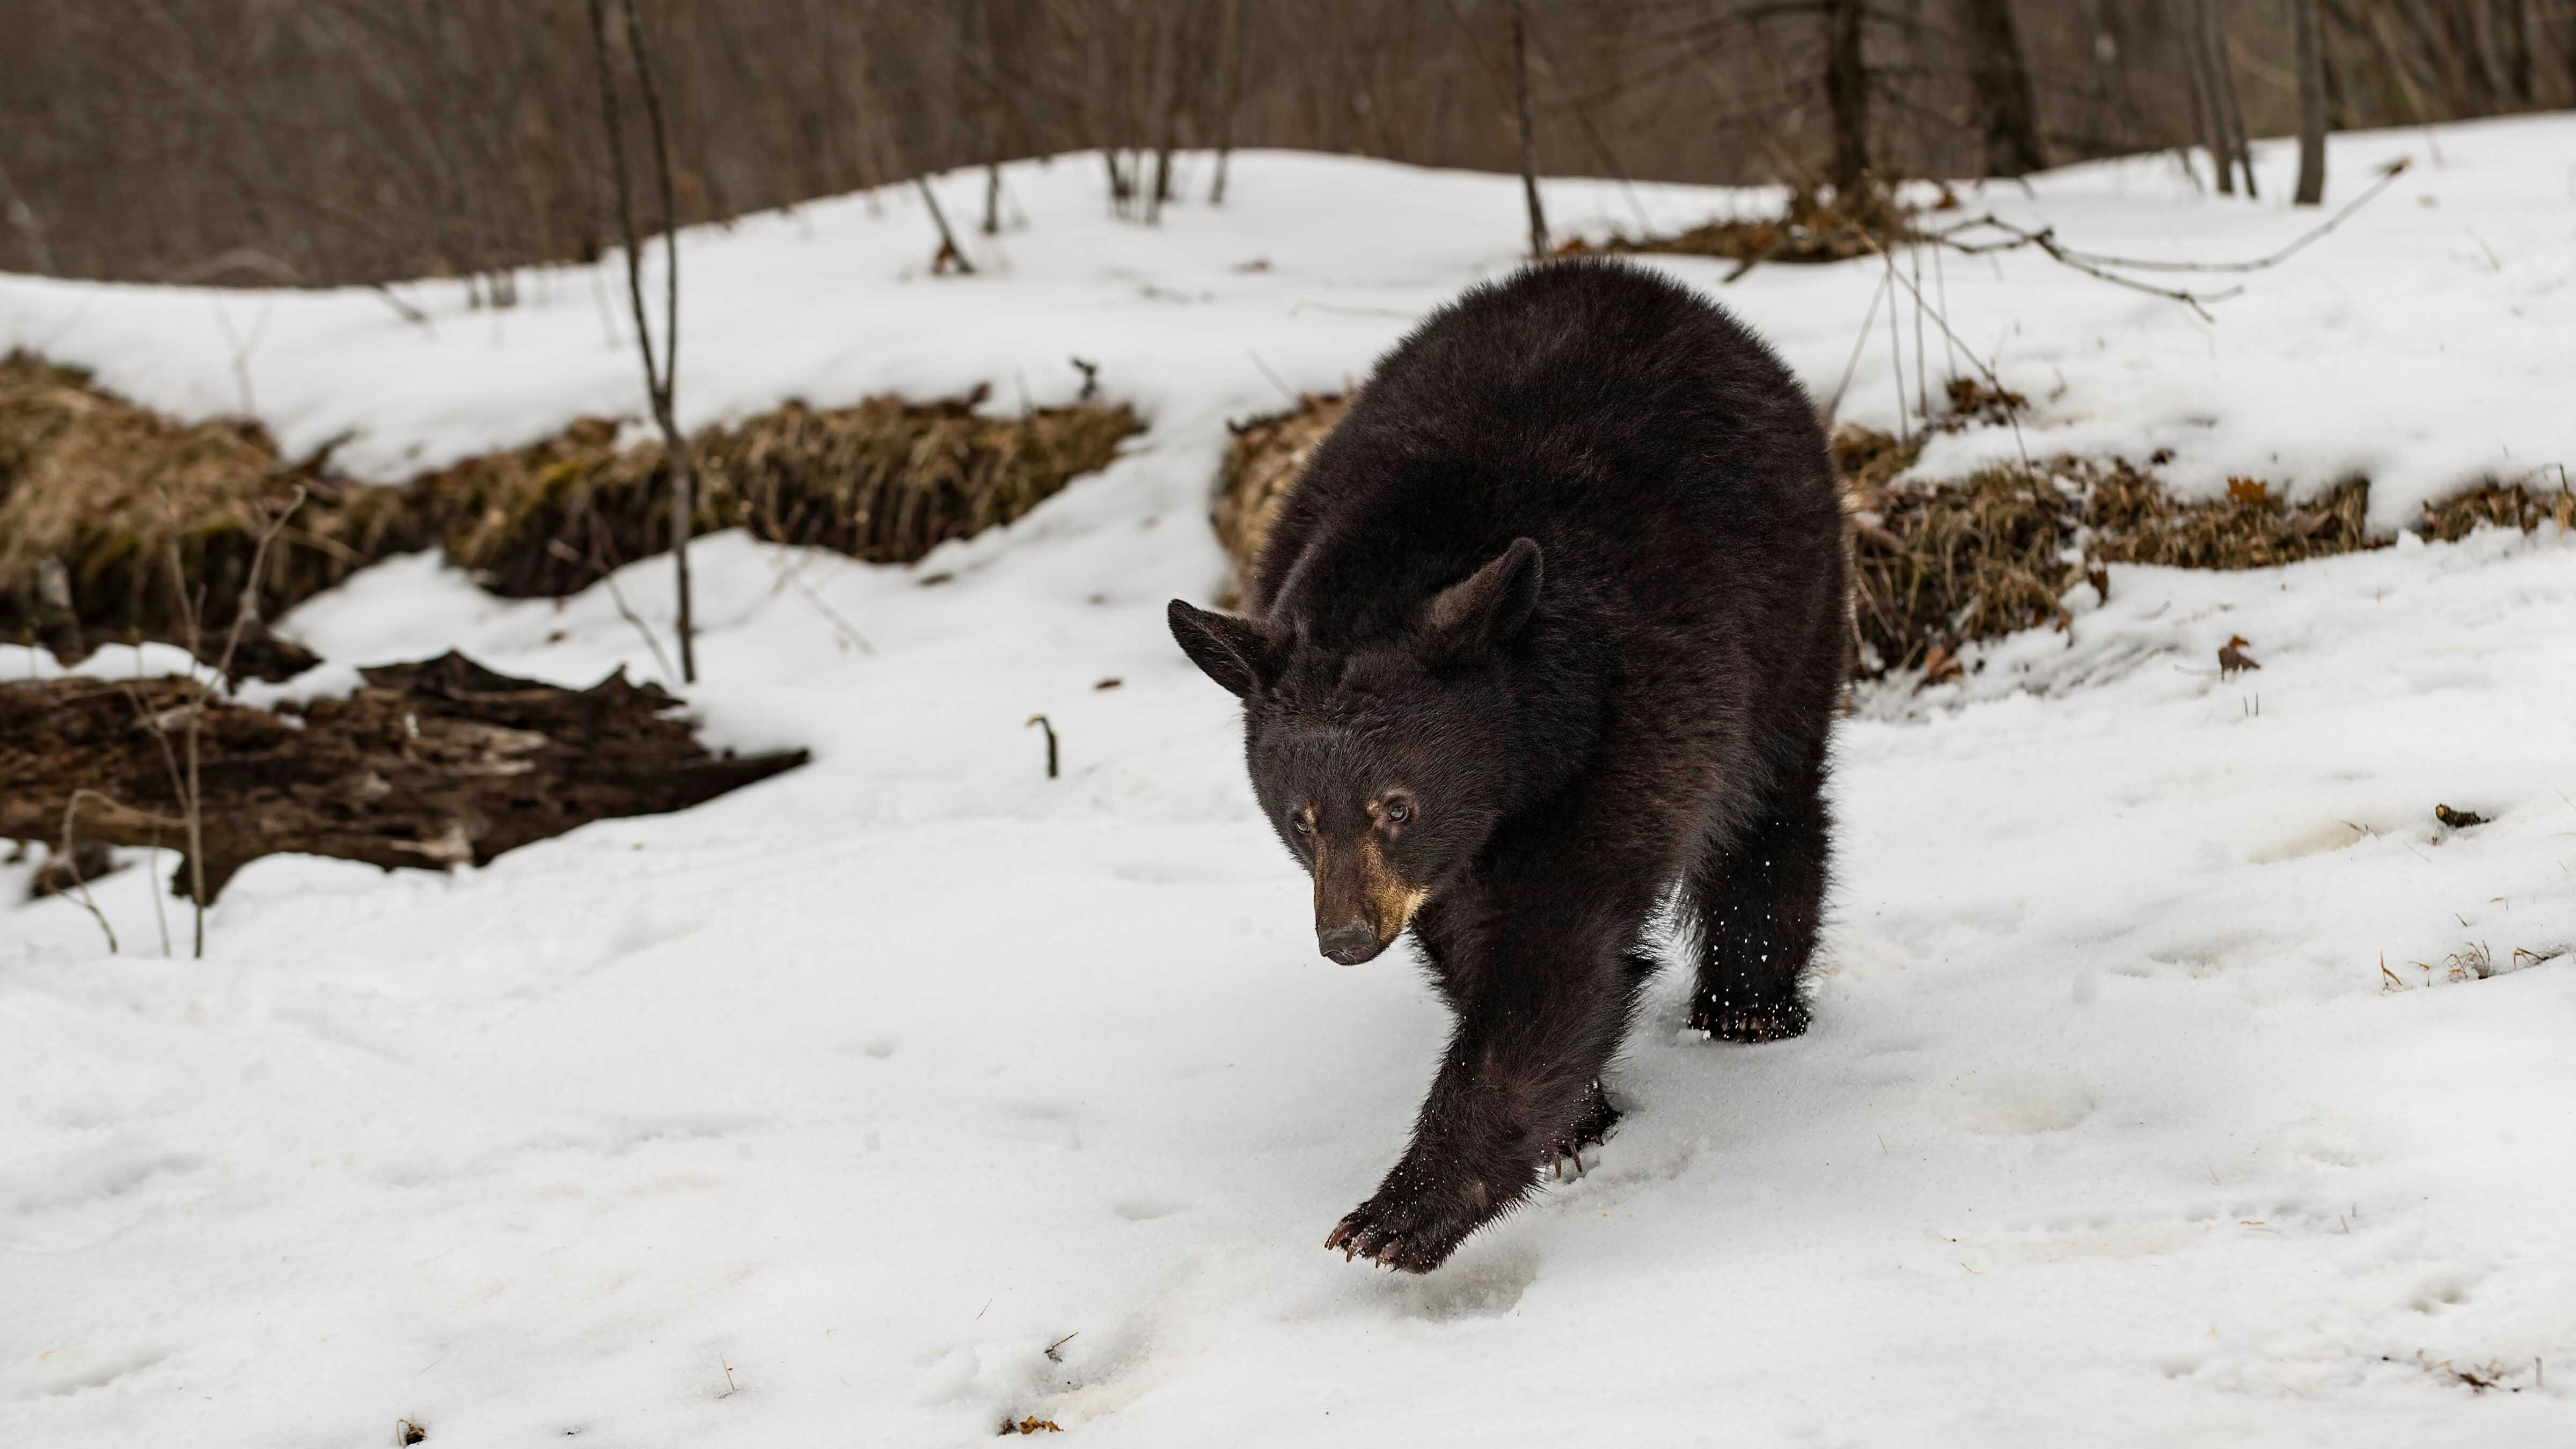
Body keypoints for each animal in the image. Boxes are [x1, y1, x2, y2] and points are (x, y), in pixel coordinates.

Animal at [1167, 258, 1848, 1273]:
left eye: (1397, 804)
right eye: (1300, 820)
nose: (1346, 940)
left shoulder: (1624, 720)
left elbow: (1554, 955)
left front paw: (1402, 1212)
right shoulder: (1445, 866)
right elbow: (1470, 948)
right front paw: (1578, 1122)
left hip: (1794, 611)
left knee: (1774, 806)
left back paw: (1750, 1004)